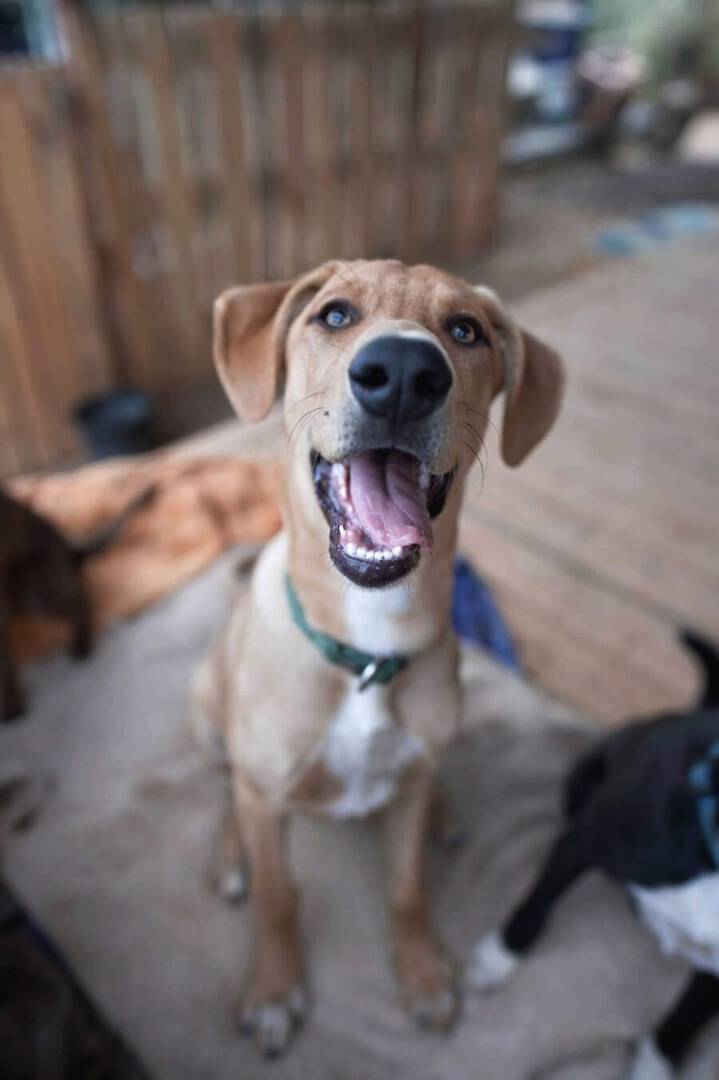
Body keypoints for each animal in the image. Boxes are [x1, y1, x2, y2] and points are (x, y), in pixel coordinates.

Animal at [0, 485, 154, 722]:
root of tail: (68, 547)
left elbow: (5, 665)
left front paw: (12, 706)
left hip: (33, 589)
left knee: (81, 602)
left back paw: (82, 646)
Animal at [191, 258, 565, 1056]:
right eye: (334, 315)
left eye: (466, 330)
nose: (401, 373)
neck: (366, 650)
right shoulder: (267, 790)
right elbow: (276, 896)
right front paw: (274, 987)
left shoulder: (409, 794)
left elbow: (406, 889)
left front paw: (421, 971)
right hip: (208, 708)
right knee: (229, 785)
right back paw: (231, 853)